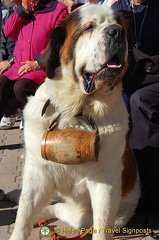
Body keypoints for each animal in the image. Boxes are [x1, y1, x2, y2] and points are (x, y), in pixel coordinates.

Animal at [9, 4, 140, 240]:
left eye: (121, 27)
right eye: (88, 27)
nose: (117, 32)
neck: (77, 110)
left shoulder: (105, 181)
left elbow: (102, 225)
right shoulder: (37, 171)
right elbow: (24, 214)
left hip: (91, 216)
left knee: (63, 210)